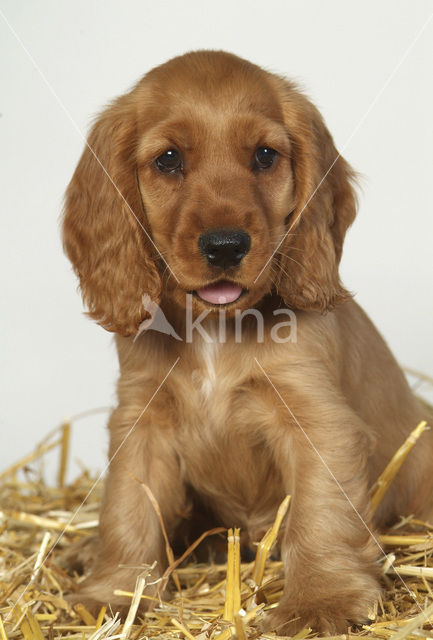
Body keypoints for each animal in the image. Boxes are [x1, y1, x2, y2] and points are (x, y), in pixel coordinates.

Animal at [62, 51, 430, 636]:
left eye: (264, 155)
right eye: (168, 160)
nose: (225, 245)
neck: (216, 329)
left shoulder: (318, 421)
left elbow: (321, 514)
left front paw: (320, 602)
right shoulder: (141, 418)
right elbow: (127, 508)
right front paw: (111, 594)